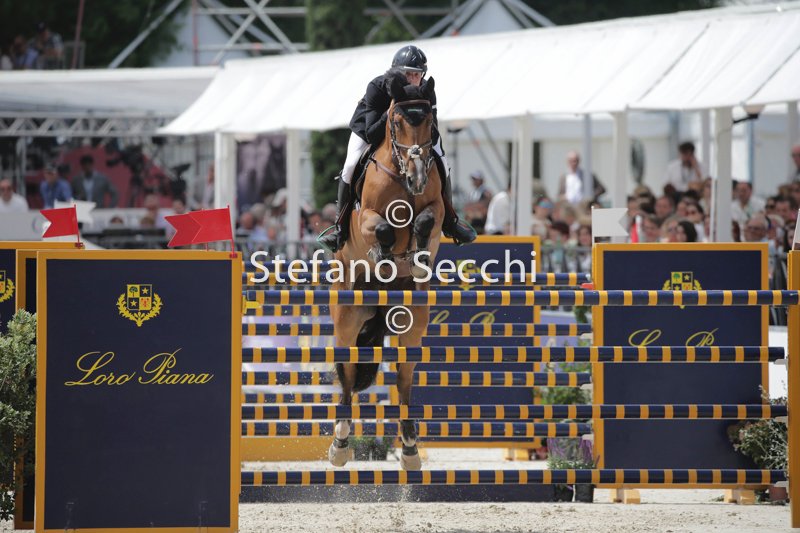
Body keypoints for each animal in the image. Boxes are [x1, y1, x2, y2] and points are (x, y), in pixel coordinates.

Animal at [328, 76, 443, 471]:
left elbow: (426, 221)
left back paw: (409, 447)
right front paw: (385, 254)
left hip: (412, 322)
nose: (418, 176)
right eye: (395, 120)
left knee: (405, 379)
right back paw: (341, 443)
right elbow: (381, 229)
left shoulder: (436, 208)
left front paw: (416, 253)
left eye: (430, 120)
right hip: (347, 319)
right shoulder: (366, 217)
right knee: (347, 372)